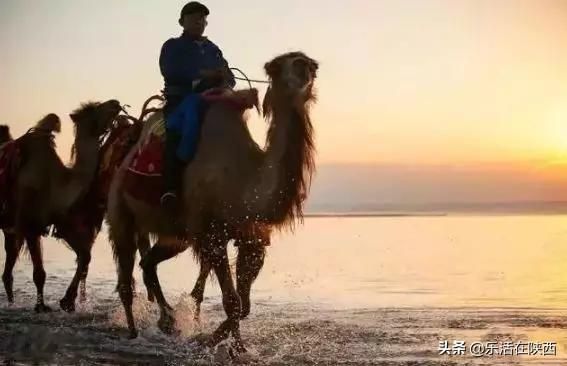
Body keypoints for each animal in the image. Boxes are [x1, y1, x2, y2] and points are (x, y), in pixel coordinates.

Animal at [1, 100, 122, 312]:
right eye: (93, 108)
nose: (115, 103)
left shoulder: (56, 221)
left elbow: (84, 256)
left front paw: (67, 302)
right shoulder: (31, 224)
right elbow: (40, 273)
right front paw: (41, 306)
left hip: (9, 226)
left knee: (9, 265)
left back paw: (11, 302)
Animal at [107, 50, 320, 348]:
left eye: (311, 64)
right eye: (279, 65)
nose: (305, 68)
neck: (243, 178)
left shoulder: (252, 237)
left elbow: (243, 305)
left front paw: (219, 341)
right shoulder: (212, 236)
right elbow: (232, 301)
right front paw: (224, 346)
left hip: (177, 236)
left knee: (148, 263)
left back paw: (167, 320)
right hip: (120, 212)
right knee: (126, 278)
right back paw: (134, 332)